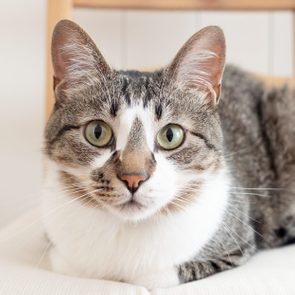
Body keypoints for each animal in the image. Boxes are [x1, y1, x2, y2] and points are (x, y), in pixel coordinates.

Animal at [42, 19, 295, 290]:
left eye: (171, 135)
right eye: (97, 132)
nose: (134, 178)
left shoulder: (236, 243)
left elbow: (157, 275)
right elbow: (67, 264)